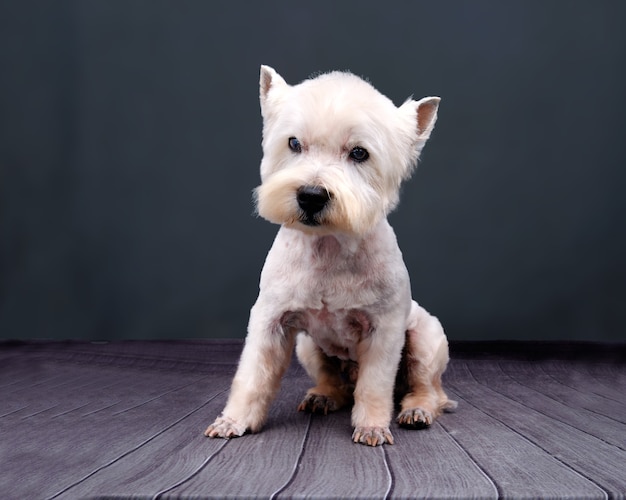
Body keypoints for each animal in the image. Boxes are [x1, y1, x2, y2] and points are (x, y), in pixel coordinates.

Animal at [205, 65, 454, 446]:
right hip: (308, 347)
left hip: (426, 339)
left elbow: (375, 384)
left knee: (427, 387)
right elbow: (253, 375)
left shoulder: (384, 330)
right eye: (294, 143)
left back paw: (416, 410)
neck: (327, 248)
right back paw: (322, 396)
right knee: (335, 382)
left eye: (360, 153)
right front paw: (234, 420)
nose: (311, 195)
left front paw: (372, 426)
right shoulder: (271, 320)